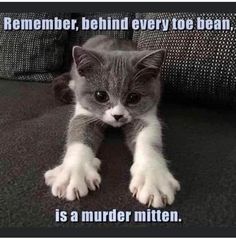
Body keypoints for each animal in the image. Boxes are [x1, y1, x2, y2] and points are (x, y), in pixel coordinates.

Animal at [44, 35, 181, 207]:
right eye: (100, 95)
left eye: (134, 97)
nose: (117, 116)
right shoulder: (85, 111)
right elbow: (79, 132)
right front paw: (74, 173)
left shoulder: (146, 115)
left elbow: (149, 140)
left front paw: (153, 180)